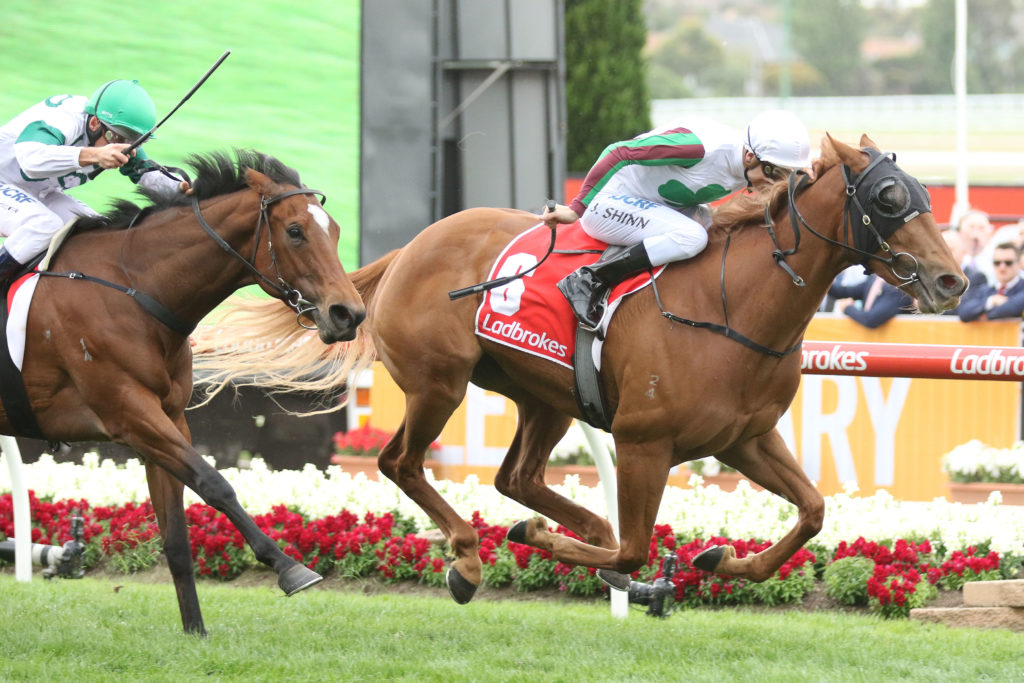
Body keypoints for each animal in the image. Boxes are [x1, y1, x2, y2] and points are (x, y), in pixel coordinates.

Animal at [1, 149, 365, 634]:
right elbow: (215, 483)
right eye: (295, 231)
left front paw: (195, 630)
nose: (349, 313)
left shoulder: (166, 418)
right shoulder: (129, 413)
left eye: (336, 230)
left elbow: (176, 534)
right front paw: (289, 567)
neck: (133, 291)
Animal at [196, 134, 966, 604]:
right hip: (439, 384)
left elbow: (812, 511)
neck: (732, 304)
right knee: (401, 462)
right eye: (890, 199)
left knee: (517, 477)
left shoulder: (744, 437)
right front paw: (539, 541)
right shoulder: (645, 441)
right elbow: (632, 551)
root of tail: (409, 247)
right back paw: (470, 555)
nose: (952, 280)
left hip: (547, 396)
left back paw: (572, 525)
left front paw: (721, 561)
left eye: (925, 194)